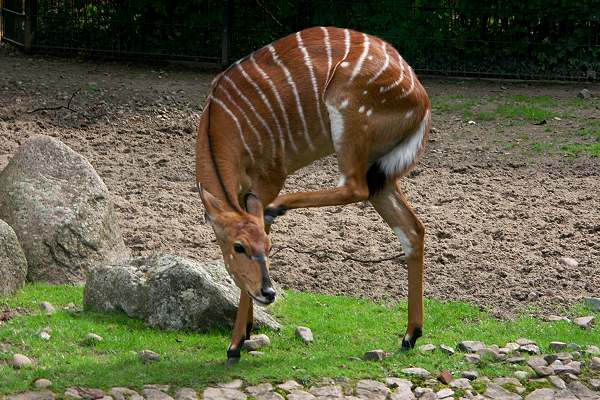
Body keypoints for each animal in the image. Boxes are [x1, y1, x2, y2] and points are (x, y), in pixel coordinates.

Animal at [197, 25, 432, 362]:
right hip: (381, 174)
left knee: (354, 187)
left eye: (269, 248)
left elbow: (264, 218)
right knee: (412, 229)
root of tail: (421, 98)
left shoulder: (270, 177)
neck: (221, 125)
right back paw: (410, 335)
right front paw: (247, 331)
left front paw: (235, 344)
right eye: (238, 247)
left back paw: (281, 205)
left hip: (348, 120)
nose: (268, 292)